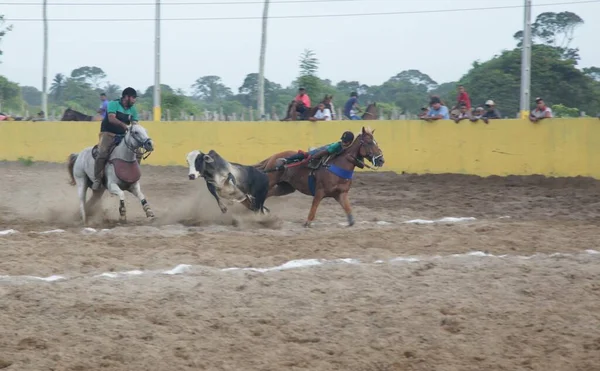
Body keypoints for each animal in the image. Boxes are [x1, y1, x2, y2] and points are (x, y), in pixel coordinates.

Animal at [252, 126, 384, 228]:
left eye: (376, 142)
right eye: (369, 142)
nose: (381, 160)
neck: (338, 165)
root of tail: (273, 157)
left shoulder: (341, 194)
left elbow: (349, 213)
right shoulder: (320, 191)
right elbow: (314, 208)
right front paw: (307, 222)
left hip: (286, 187)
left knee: (268, 194)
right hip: (271, 180)